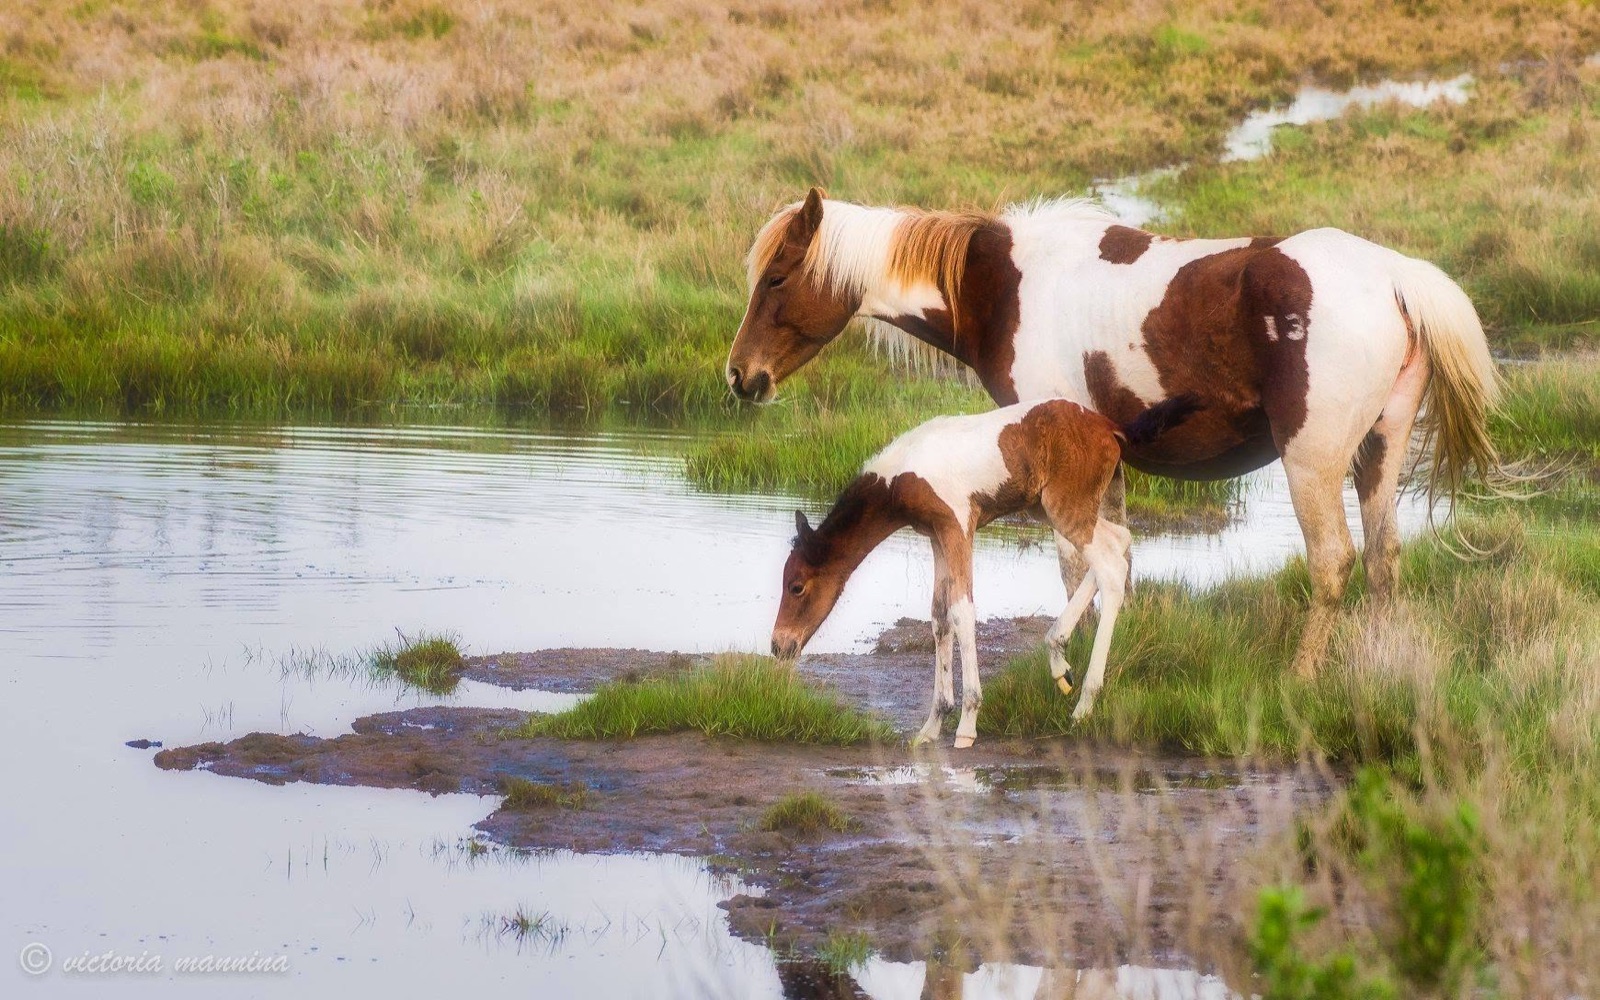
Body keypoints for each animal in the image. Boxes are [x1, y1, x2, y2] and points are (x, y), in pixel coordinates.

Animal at [730, 188, 1502, 676]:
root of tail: (1394, 276)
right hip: (1379, 453)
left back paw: (1303, 678)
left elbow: (1076, 566)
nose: (741, 377)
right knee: (1383, 559)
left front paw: (1068, 667)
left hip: (1310, 462)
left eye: (777, 278)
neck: (1005, 285)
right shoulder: (1103, 462)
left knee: (1334, 562)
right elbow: (1116, 564)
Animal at [771, 395, 1199, 748]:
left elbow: (963, 611)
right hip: (1053, 508)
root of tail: (1110, 428)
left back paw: (1084, 704)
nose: (778, 646)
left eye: (796, 587)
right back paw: (1058, 657)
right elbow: (939, 616)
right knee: (1121, 540)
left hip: (1064, 507)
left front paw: (967, 723)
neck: (902, 474)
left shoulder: (959, 525)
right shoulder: (938, 535)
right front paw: (932, 725)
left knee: (1110, 564)